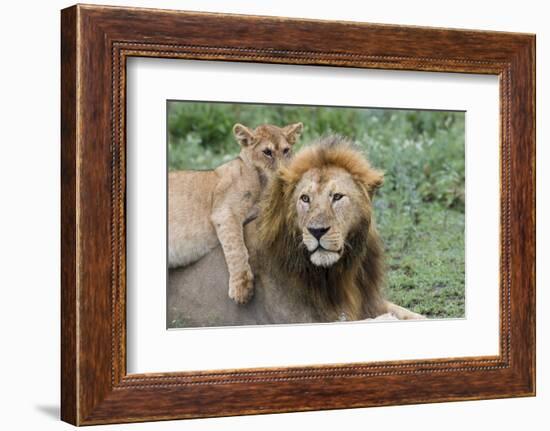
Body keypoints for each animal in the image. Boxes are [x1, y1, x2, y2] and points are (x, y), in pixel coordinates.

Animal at [170, 137, 424, 326]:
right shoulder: (298, 317)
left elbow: (410, 313)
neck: (338, 272)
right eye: (305, 198)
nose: (317, 231)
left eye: (337, 196)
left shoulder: (367, 301)